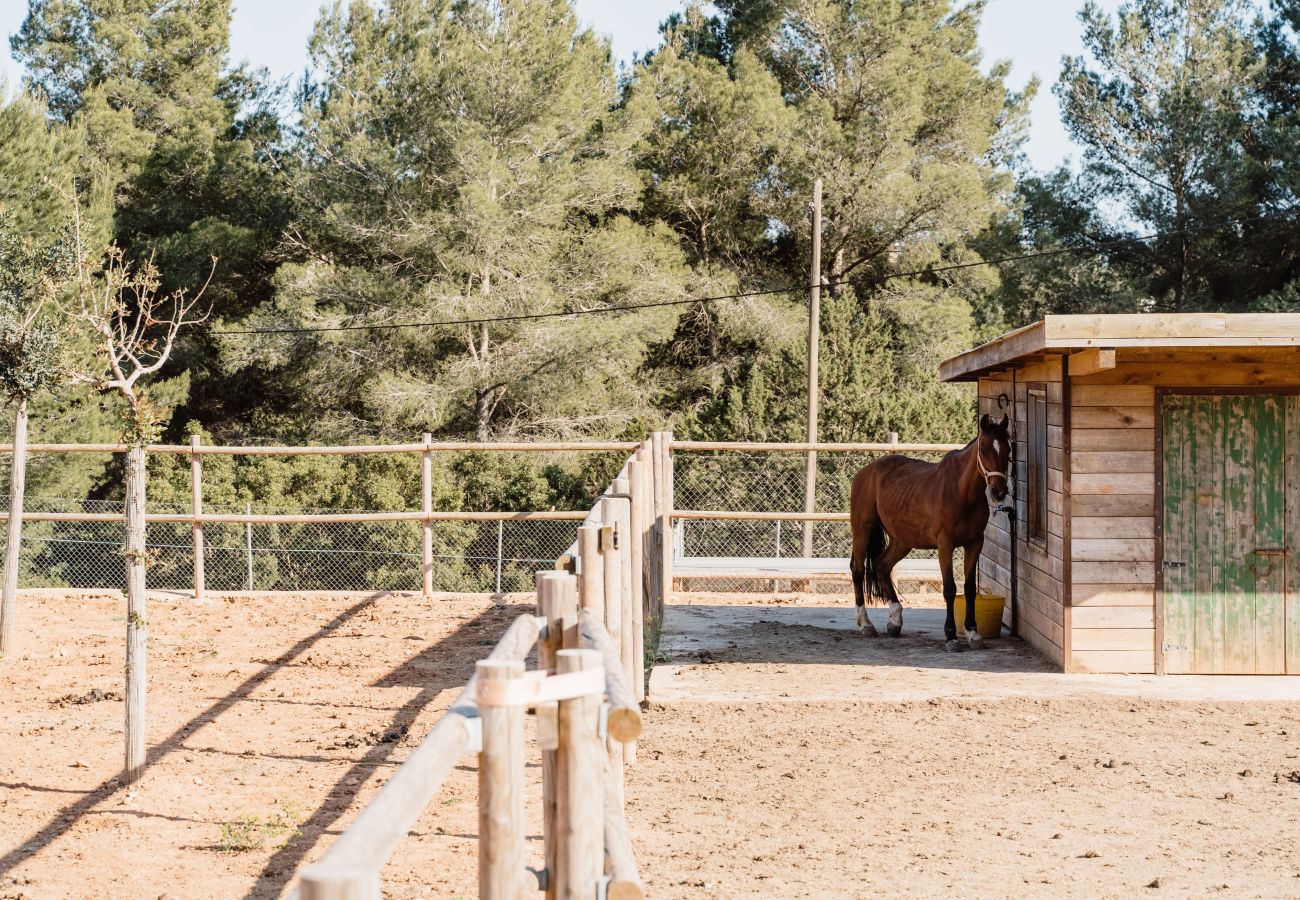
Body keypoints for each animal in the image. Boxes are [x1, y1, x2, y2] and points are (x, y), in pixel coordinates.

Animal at [852, 413, 1013, 652]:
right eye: (983, 449)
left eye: (1008, 449)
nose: (999, 491)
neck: (961, 492)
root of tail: (865, 473)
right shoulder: (945, 544)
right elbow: (949, 588)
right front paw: (951, 637)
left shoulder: (975, 543)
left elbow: (969, 589)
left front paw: (973, 633)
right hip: (863, 530)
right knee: (858, 570)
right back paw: (866, 624)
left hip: (902, 540)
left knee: (882, 565)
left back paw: (895, 621)